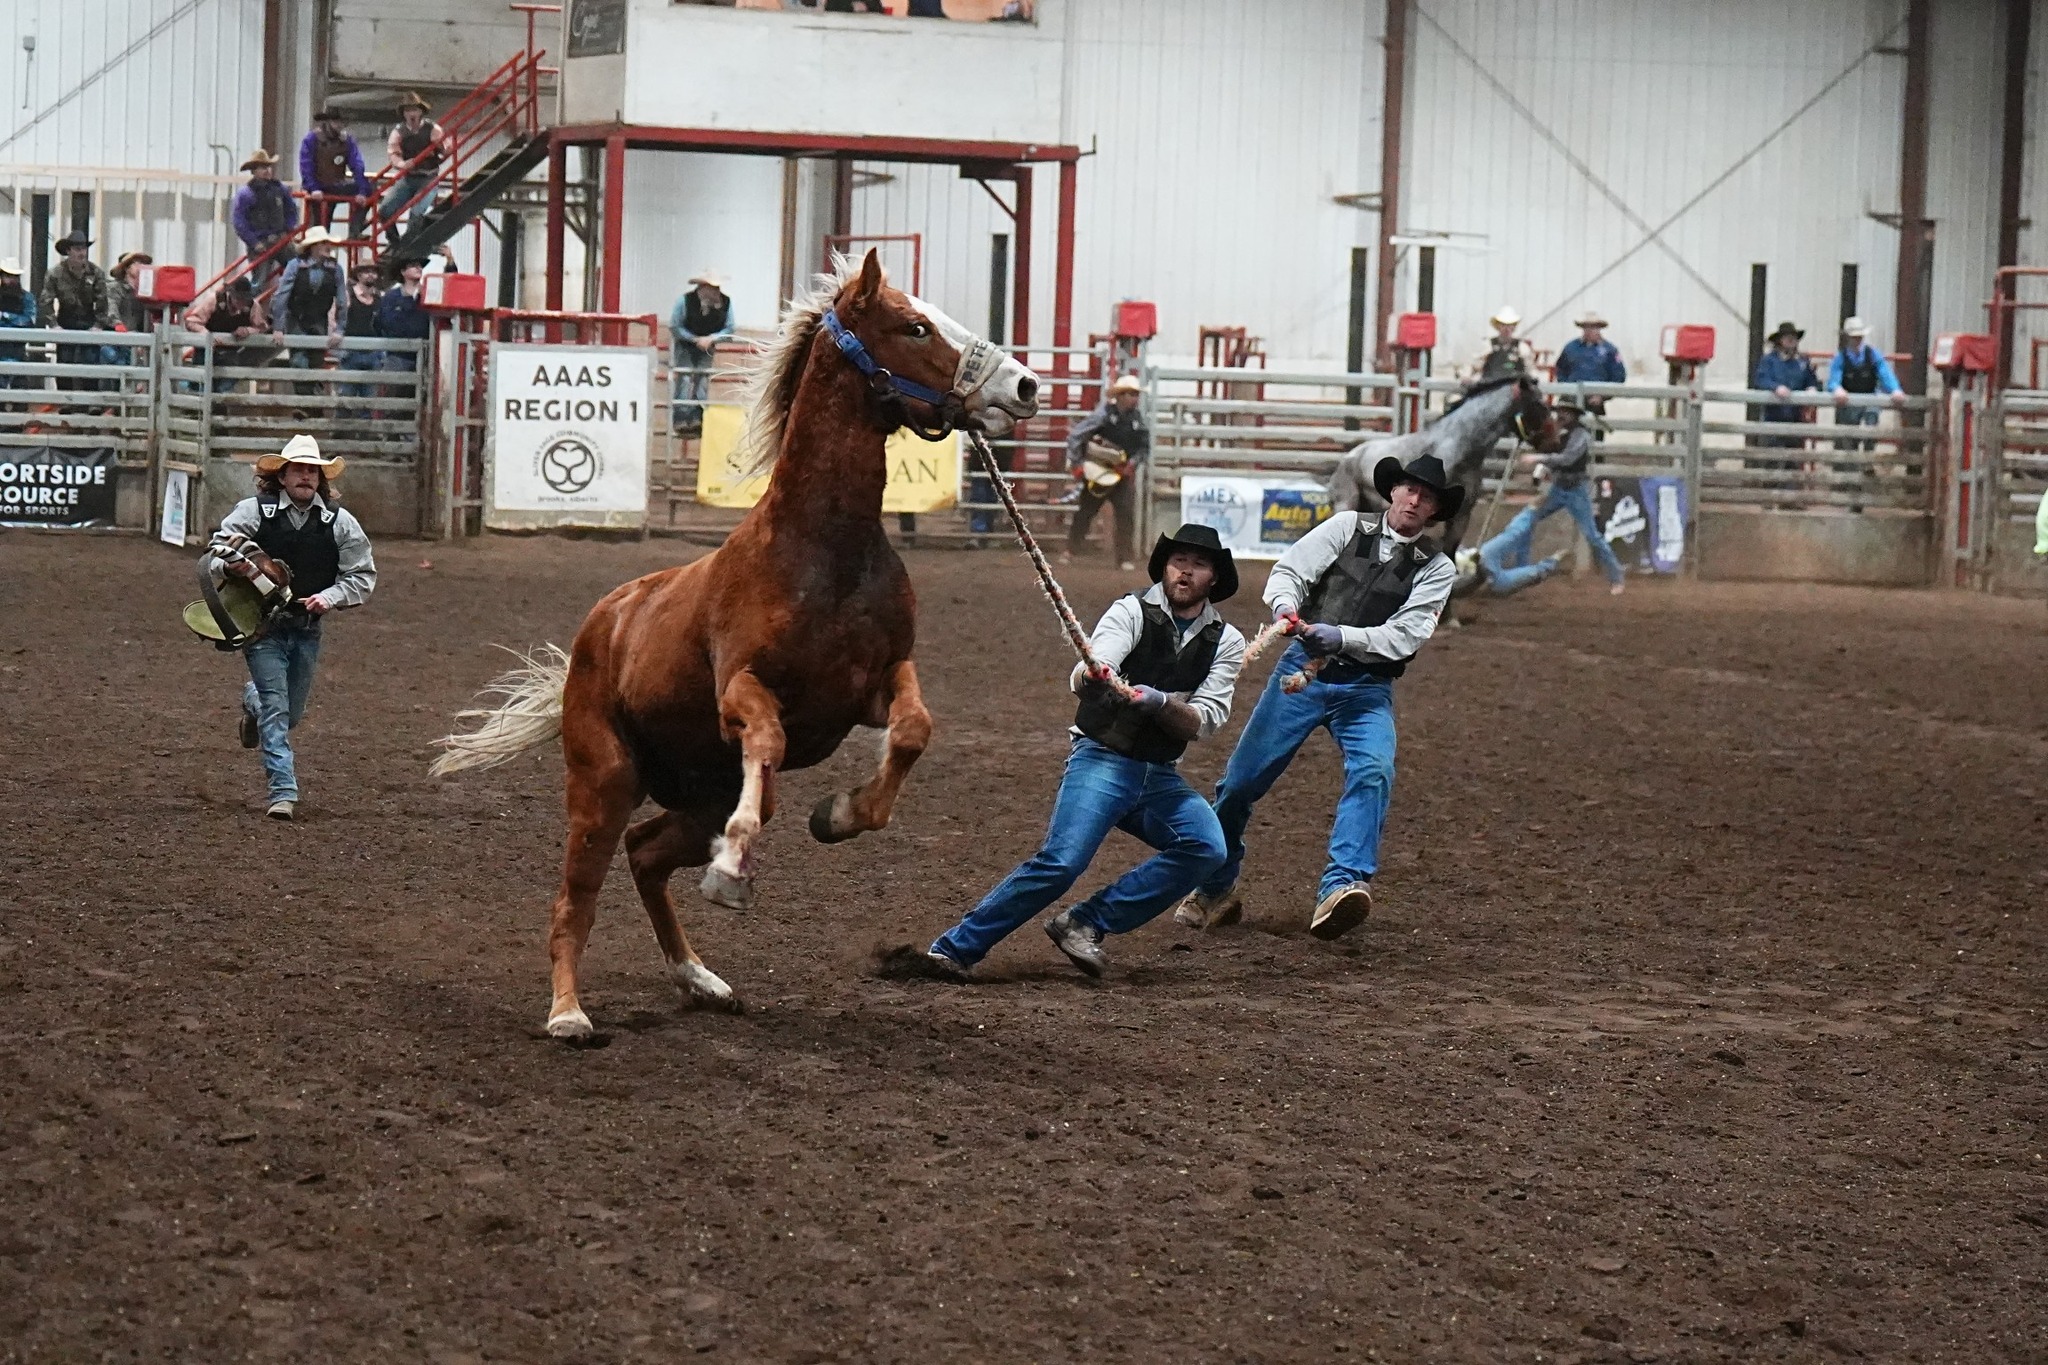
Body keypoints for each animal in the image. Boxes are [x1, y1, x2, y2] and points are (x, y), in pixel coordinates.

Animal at [430, 250, 1040, 1039]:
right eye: (915, 327)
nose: (1023, 384)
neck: (825, 550)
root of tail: (598, 629)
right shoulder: (741, 692)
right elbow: (769, 741)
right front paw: (733, 870)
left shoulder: (877, 682)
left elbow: (912, 729)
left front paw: (840, 815)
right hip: (604, 781)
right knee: (577, 898)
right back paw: (569, 1011)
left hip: (696, 794)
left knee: (646, 855)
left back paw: (700, 978)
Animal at [1325, 374, 1560, 565]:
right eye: (1539, 403)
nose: (1555, 441)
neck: (1458, 450)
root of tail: (1348, 458)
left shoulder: (1460, 520)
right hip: (1347, 505)